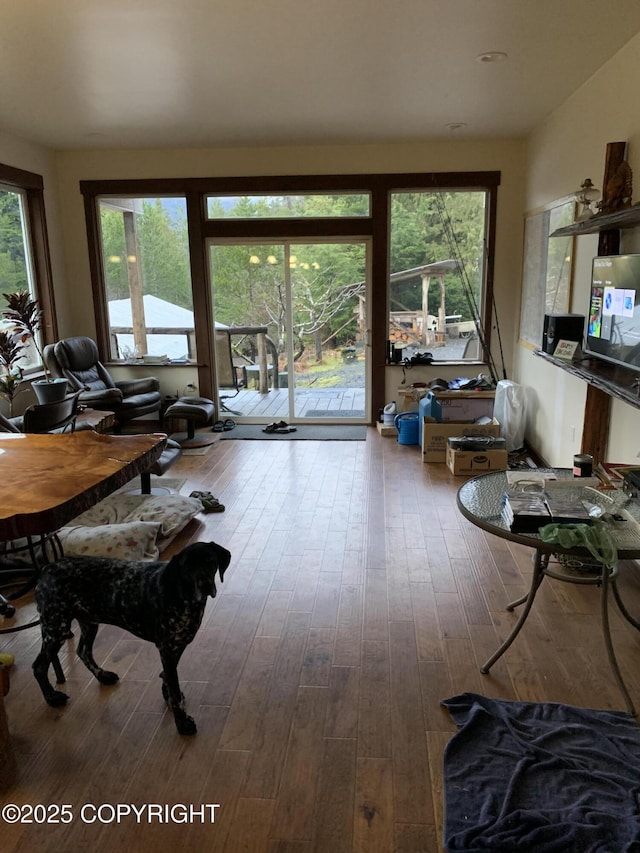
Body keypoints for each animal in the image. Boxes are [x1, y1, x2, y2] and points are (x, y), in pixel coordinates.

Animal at [32, 540, 231, 732]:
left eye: (210, 560)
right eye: (187, 567)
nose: (205, 585)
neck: (183, 597)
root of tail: (45, 570)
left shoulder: (177, 646)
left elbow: (167, 677)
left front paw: (167, 694)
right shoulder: (167, 649)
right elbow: (174, 689)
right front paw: (182, 722)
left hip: (88, 623)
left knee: (83, 651)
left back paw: (102, 676)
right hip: (56, 629)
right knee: (39, 667)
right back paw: (51, 697)